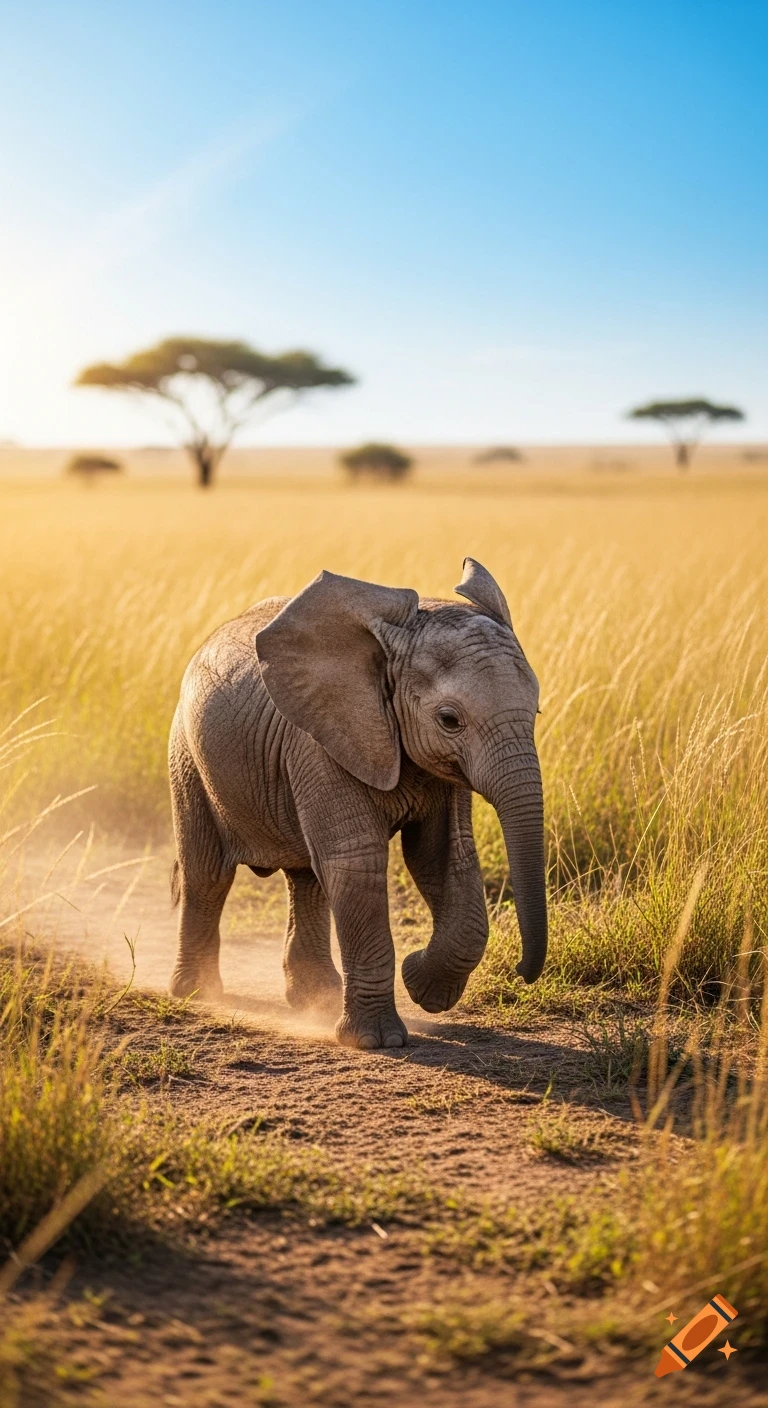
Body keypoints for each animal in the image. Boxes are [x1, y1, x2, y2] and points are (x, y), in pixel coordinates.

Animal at [168, 558, 547, 1049]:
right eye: (450, 720)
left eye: (536, 711)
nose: (522, 970)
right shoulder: (320, 743)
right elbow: (357, 862)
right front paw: (377, 1041)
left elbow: (443, 857)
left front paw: (421, 985)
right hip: (187, 754)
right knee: (208, 873)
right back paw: (198, 994)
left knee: (306, 876)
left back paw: (316, 1001)